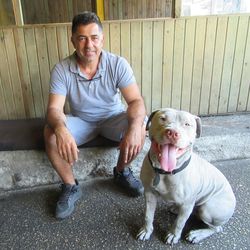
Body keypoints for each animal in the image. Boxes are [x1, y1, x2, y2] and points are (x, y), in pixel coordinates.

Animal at [137, 108, 236, 244]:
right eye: (162, 118)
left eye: (187, 124)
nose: (172, 133)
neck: (165, 172)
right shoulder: (149, 193)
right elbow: (148, 215)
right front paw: (146, 230)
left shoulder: (187, 204)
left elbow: (179, 222)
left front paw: (173, 235)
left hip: (207, 209)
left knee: (216, 228)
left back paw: (197, 234)